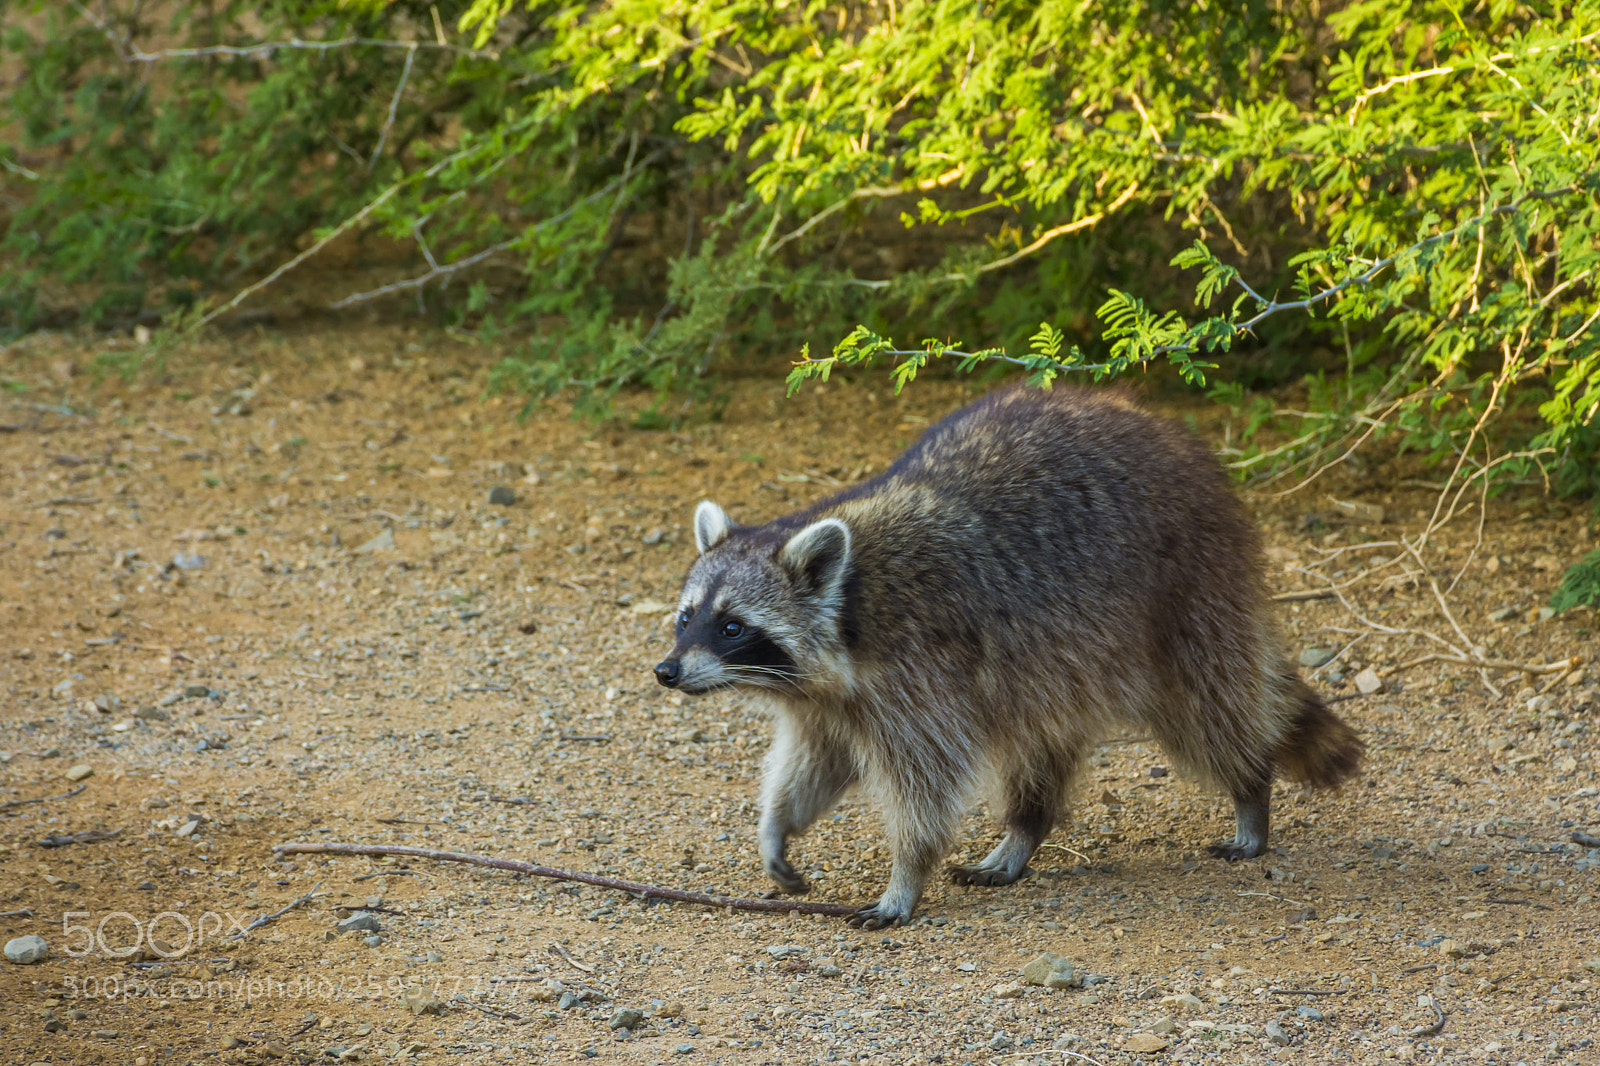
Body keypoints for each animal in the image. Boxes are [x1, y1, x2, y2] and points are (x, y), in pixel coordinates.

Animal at [654, 386, 1363, 928]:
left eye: (733, 627)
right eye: (688, 618)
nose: (666, 670)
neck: (852, 604)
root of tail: (1172, 434)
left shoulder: (920, 674)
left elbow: (926, 787)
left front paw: (906, 875)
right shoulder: (829, 701)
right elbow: (815, 764)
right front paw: (776, 828)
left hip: (1186, 589)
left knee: (1208, 705)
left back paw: (1250, 789)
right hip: (1058, 660)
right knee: (1040, 744)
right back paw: (1024, 832)